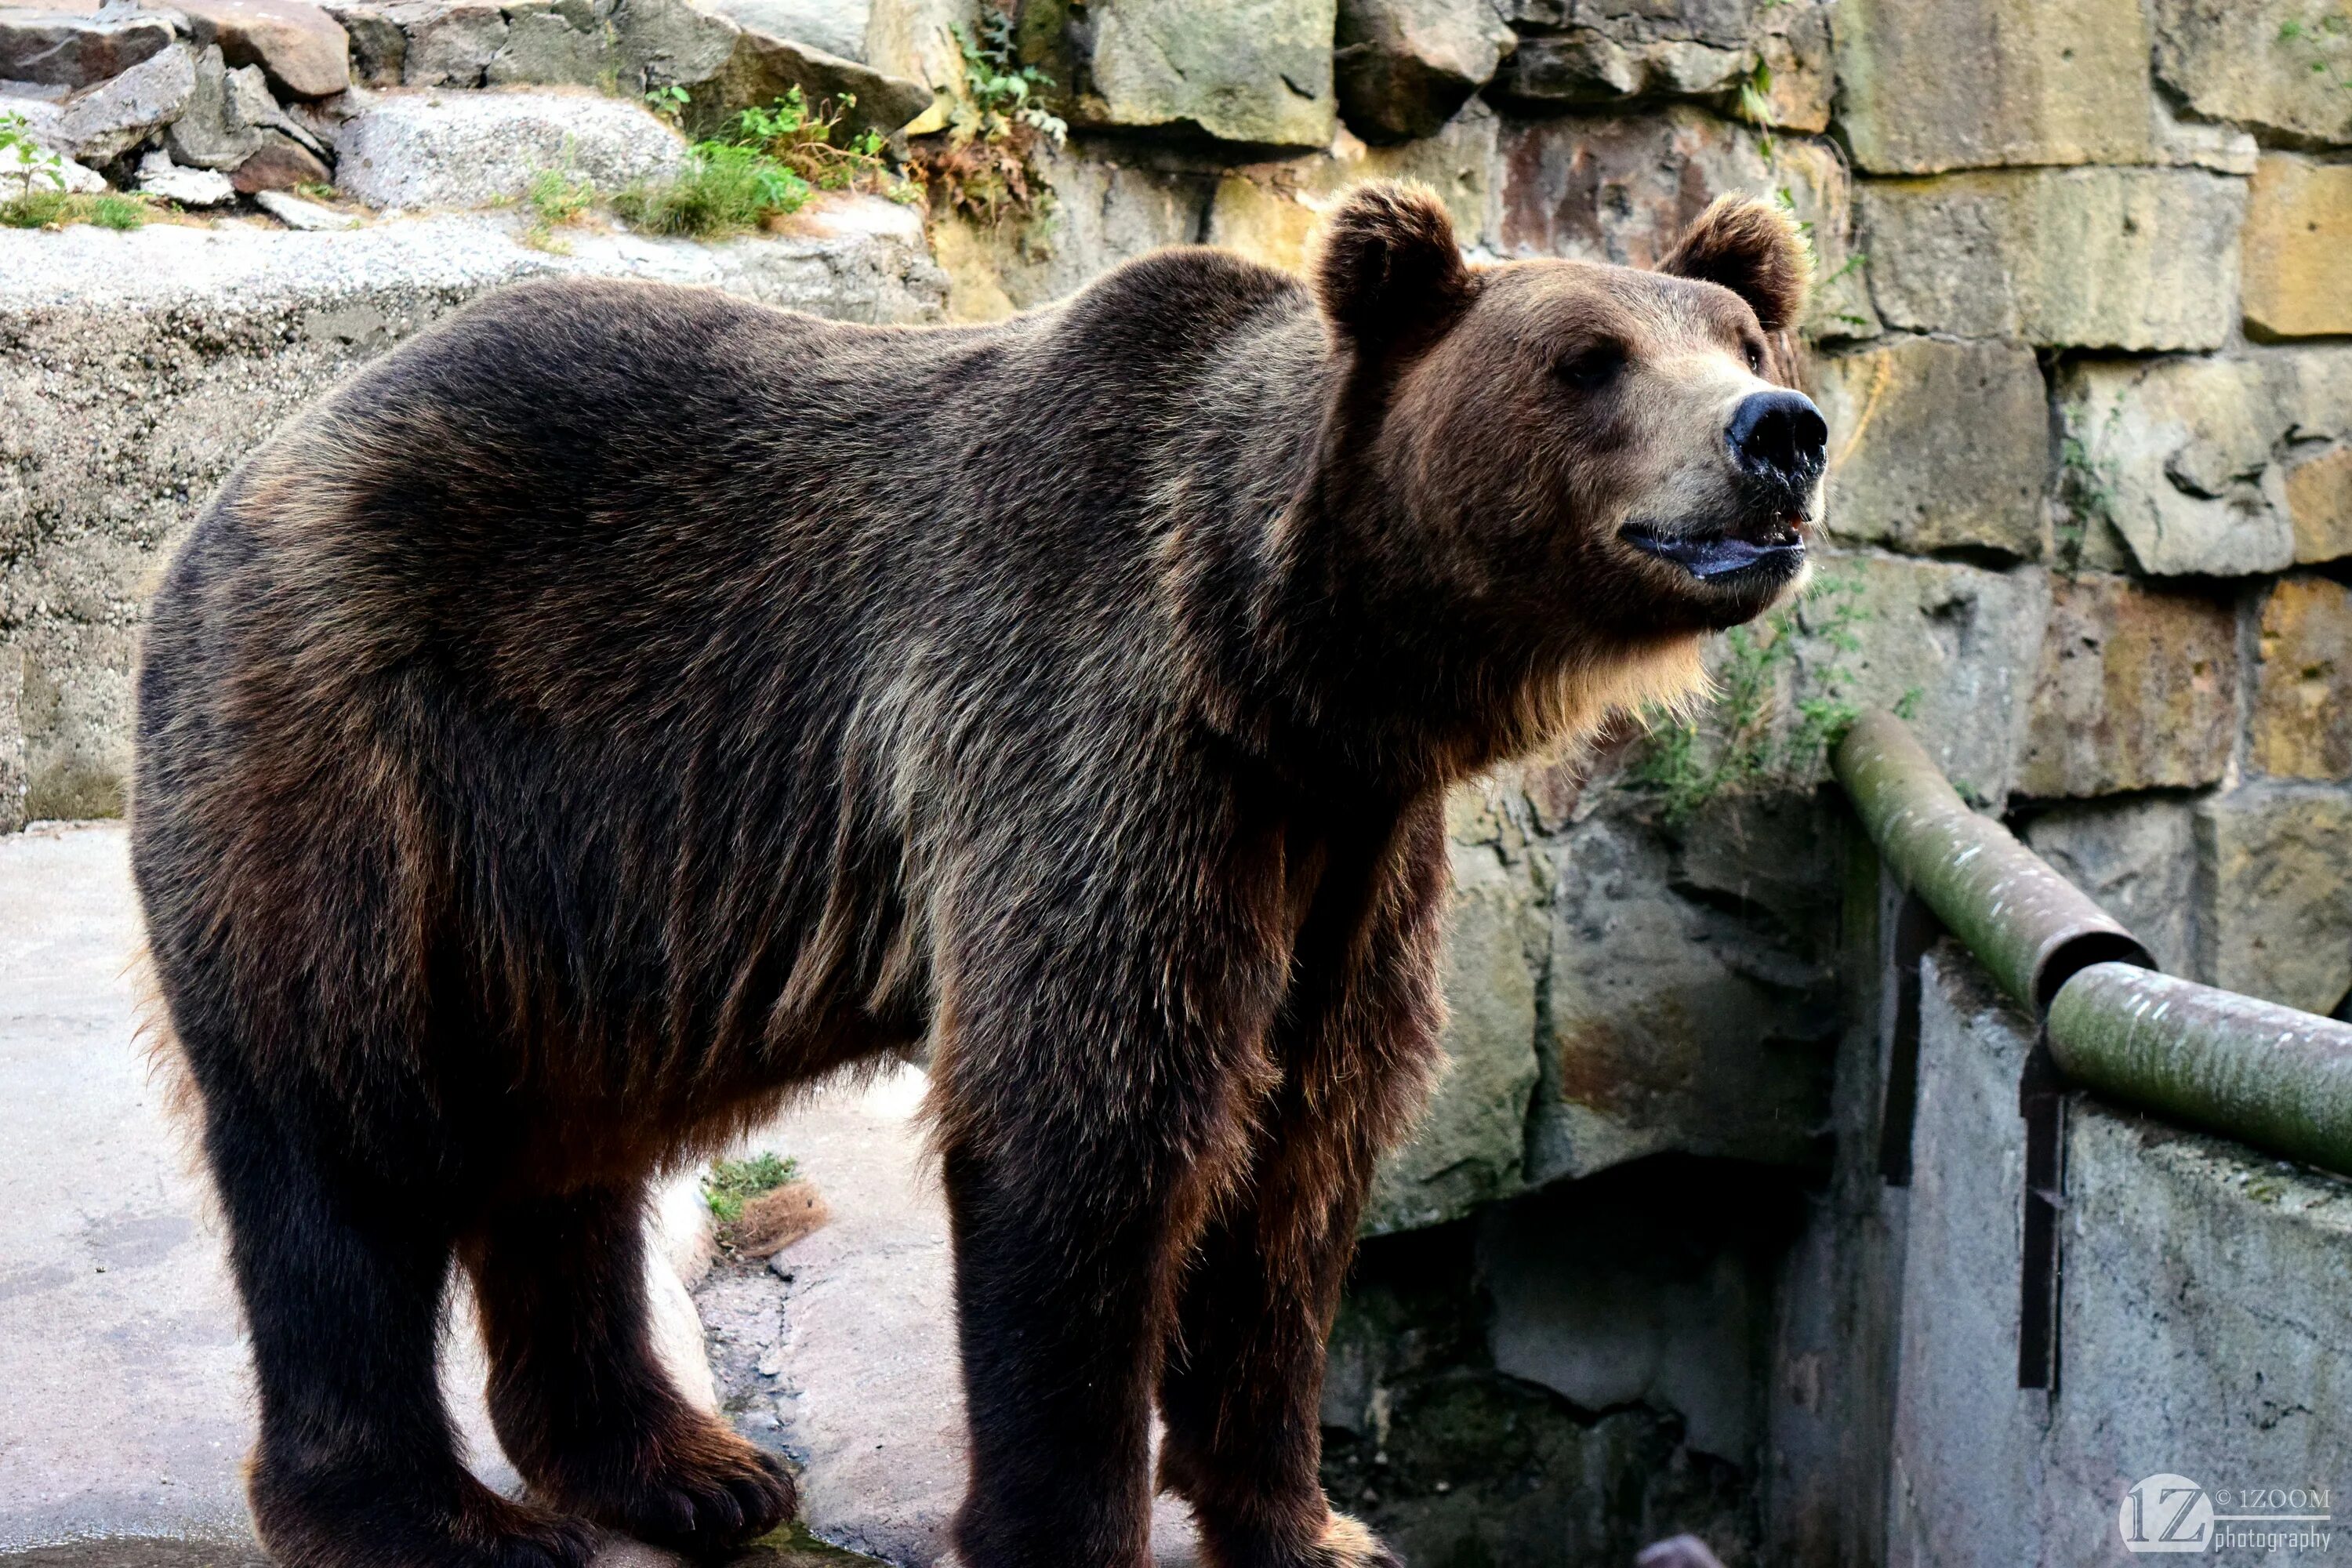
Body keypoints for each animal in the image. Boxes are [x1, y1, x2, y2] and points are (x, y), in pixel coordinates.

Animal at [129, 184, 1816, 1568]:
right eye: (1586, 357)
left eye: (1740, 332)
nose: (1780, 432)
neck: (1292, 663)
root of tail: (249, 474)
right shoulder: (1098, 735)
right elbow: (1090, 1126)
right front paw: (1074, 1523)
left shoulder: (1347, 847)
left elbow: (1308, 1150)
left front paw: (1312, 1524)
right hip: (361, 755)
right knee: (341, 1129)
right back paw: (431, 1518)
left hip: (571, 895)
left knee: (560, 1150)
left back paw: (690, 1470)